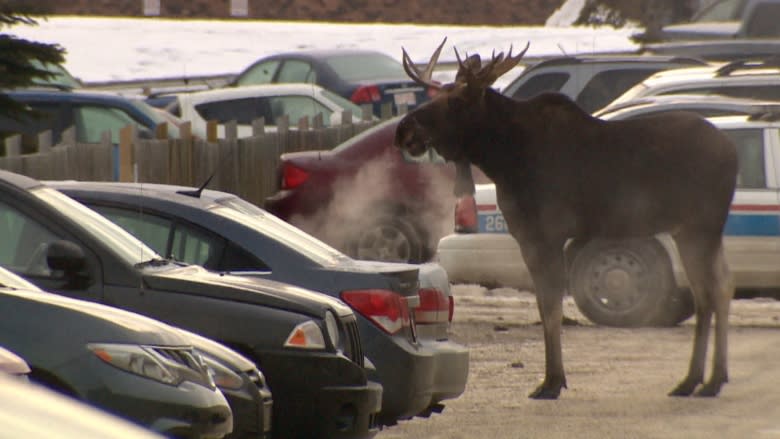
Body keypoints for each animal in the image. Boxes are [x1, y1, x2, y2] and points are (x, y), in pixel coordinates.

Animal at [396, 39, 736, 400]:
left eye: (456, 101)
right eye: (438, 93)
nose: (403, 130)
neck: (504, 159)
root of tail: (734, 154)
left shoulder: (542, 234)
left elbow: (550, 307)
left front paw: (552, 381)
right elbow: (547, 306)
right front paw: (553, 379)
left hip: (701, 226)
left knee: (710, 292)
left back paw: (704, 380)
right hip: (692, 231)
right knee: (720, 286)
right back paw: (706, 378)